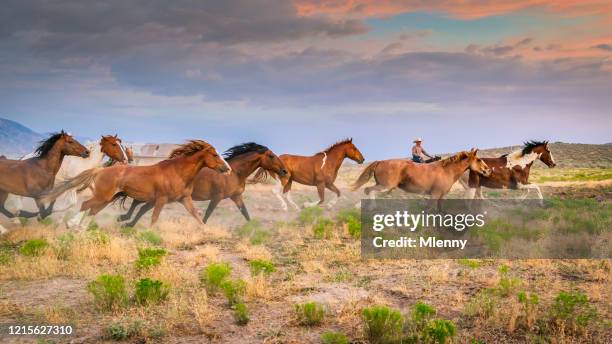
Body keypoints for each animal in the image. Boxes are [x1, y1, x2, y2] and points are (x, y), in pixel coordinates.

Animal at [41, 138, 231, 227]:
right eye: (215, 154)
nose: (228, 168)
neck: (177, 172)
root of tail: (100, 170)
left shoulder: (184, 199)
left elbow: (197, 216)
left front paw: (207, 232)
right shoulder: (161, 199)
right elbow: (153, 218)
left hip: (108, 198)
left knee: (92, 209)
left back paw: (80, 228)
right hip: (103, 197)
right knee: (86, 205)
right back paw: (72, 225)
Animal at [119, 142, 290, 223]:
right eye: (272, 156)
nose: (284, 171)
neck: (234, 173)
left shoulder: (236, 197)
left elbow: (246, 214)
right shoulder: (217, 197)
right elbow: (207, 215)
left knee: (138, 203)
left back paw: (124, 219)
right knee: (137, 202)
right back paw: (124, 218)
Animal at [352, 148, 490, 210]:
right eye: (479, 160)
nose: (488, 170)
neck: (447, 170)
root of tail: (380, 162)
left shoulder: (441, 196)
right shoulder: (435, 195)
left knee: (368, 190)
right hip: (385, 186)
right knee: (368, 190)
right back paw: (370, 207)